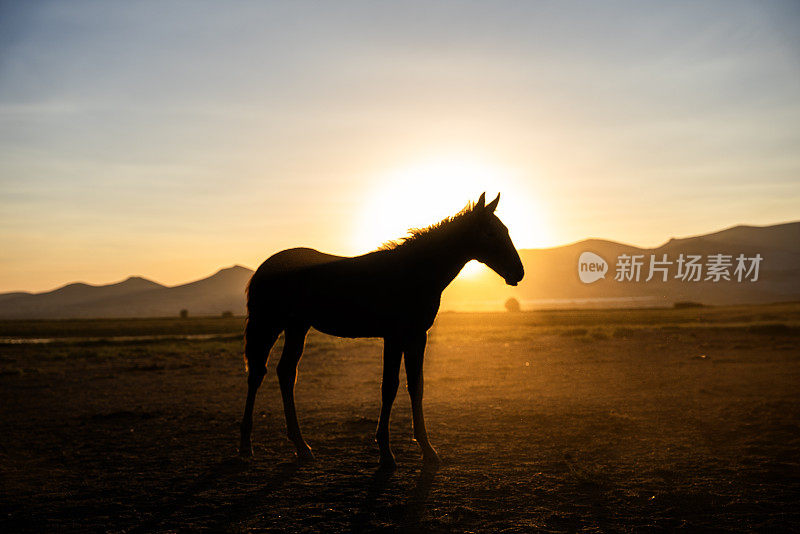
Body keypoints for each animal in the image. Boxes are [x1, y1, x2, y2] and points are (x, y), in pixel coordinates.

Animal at [238, 193, 524, 468]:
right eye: (490, 233)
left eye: (506, 230)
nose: (518, 272)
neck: (414, 273)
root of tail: (265, 267)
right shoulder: (394, 337)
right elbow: (390, 387)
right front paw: (386, 454)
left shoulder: (417, 336)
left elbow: (416, 386)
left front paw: (427, 450)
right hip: (268, 325)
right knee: (257, 374)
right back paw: (246, 447)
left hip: (297, 327)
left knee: (286, 373)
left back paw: (301, 447)